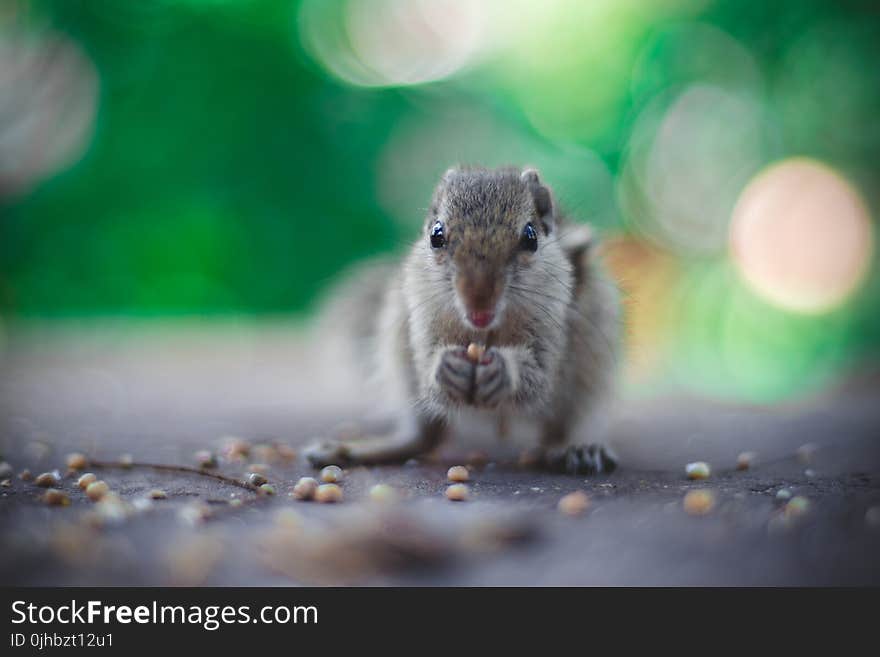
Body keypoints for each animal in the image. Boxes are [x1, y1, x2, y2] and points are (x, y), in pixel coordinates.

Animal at [306, 164, 624, 472]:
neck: (484, 334)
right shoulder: (421, 322)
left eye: (530, 237)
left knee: (566, 424)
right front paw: (446, 367)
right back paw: (358, 449)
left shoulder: (552, 329)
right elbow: (428, 371)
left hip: (589, 364)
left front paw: (503, 371)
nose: (479, 299)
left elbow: (539, 377)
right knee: (424, 436)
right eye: (436, 236)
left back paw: (579, 449)